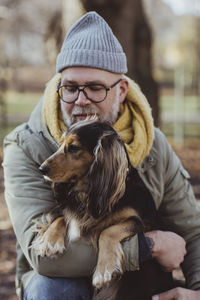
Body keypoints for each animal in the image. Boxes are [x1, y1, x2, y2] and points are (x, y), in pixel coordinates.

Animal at [32, 120, 173, 300]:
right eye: (60, 143)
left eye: (74, 148)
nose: (41, 169)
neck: (86, 192)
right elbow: (62, 216)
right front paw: (50, 241)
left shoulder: (141, 221)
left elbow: (108, 231)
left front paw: (104, 270)